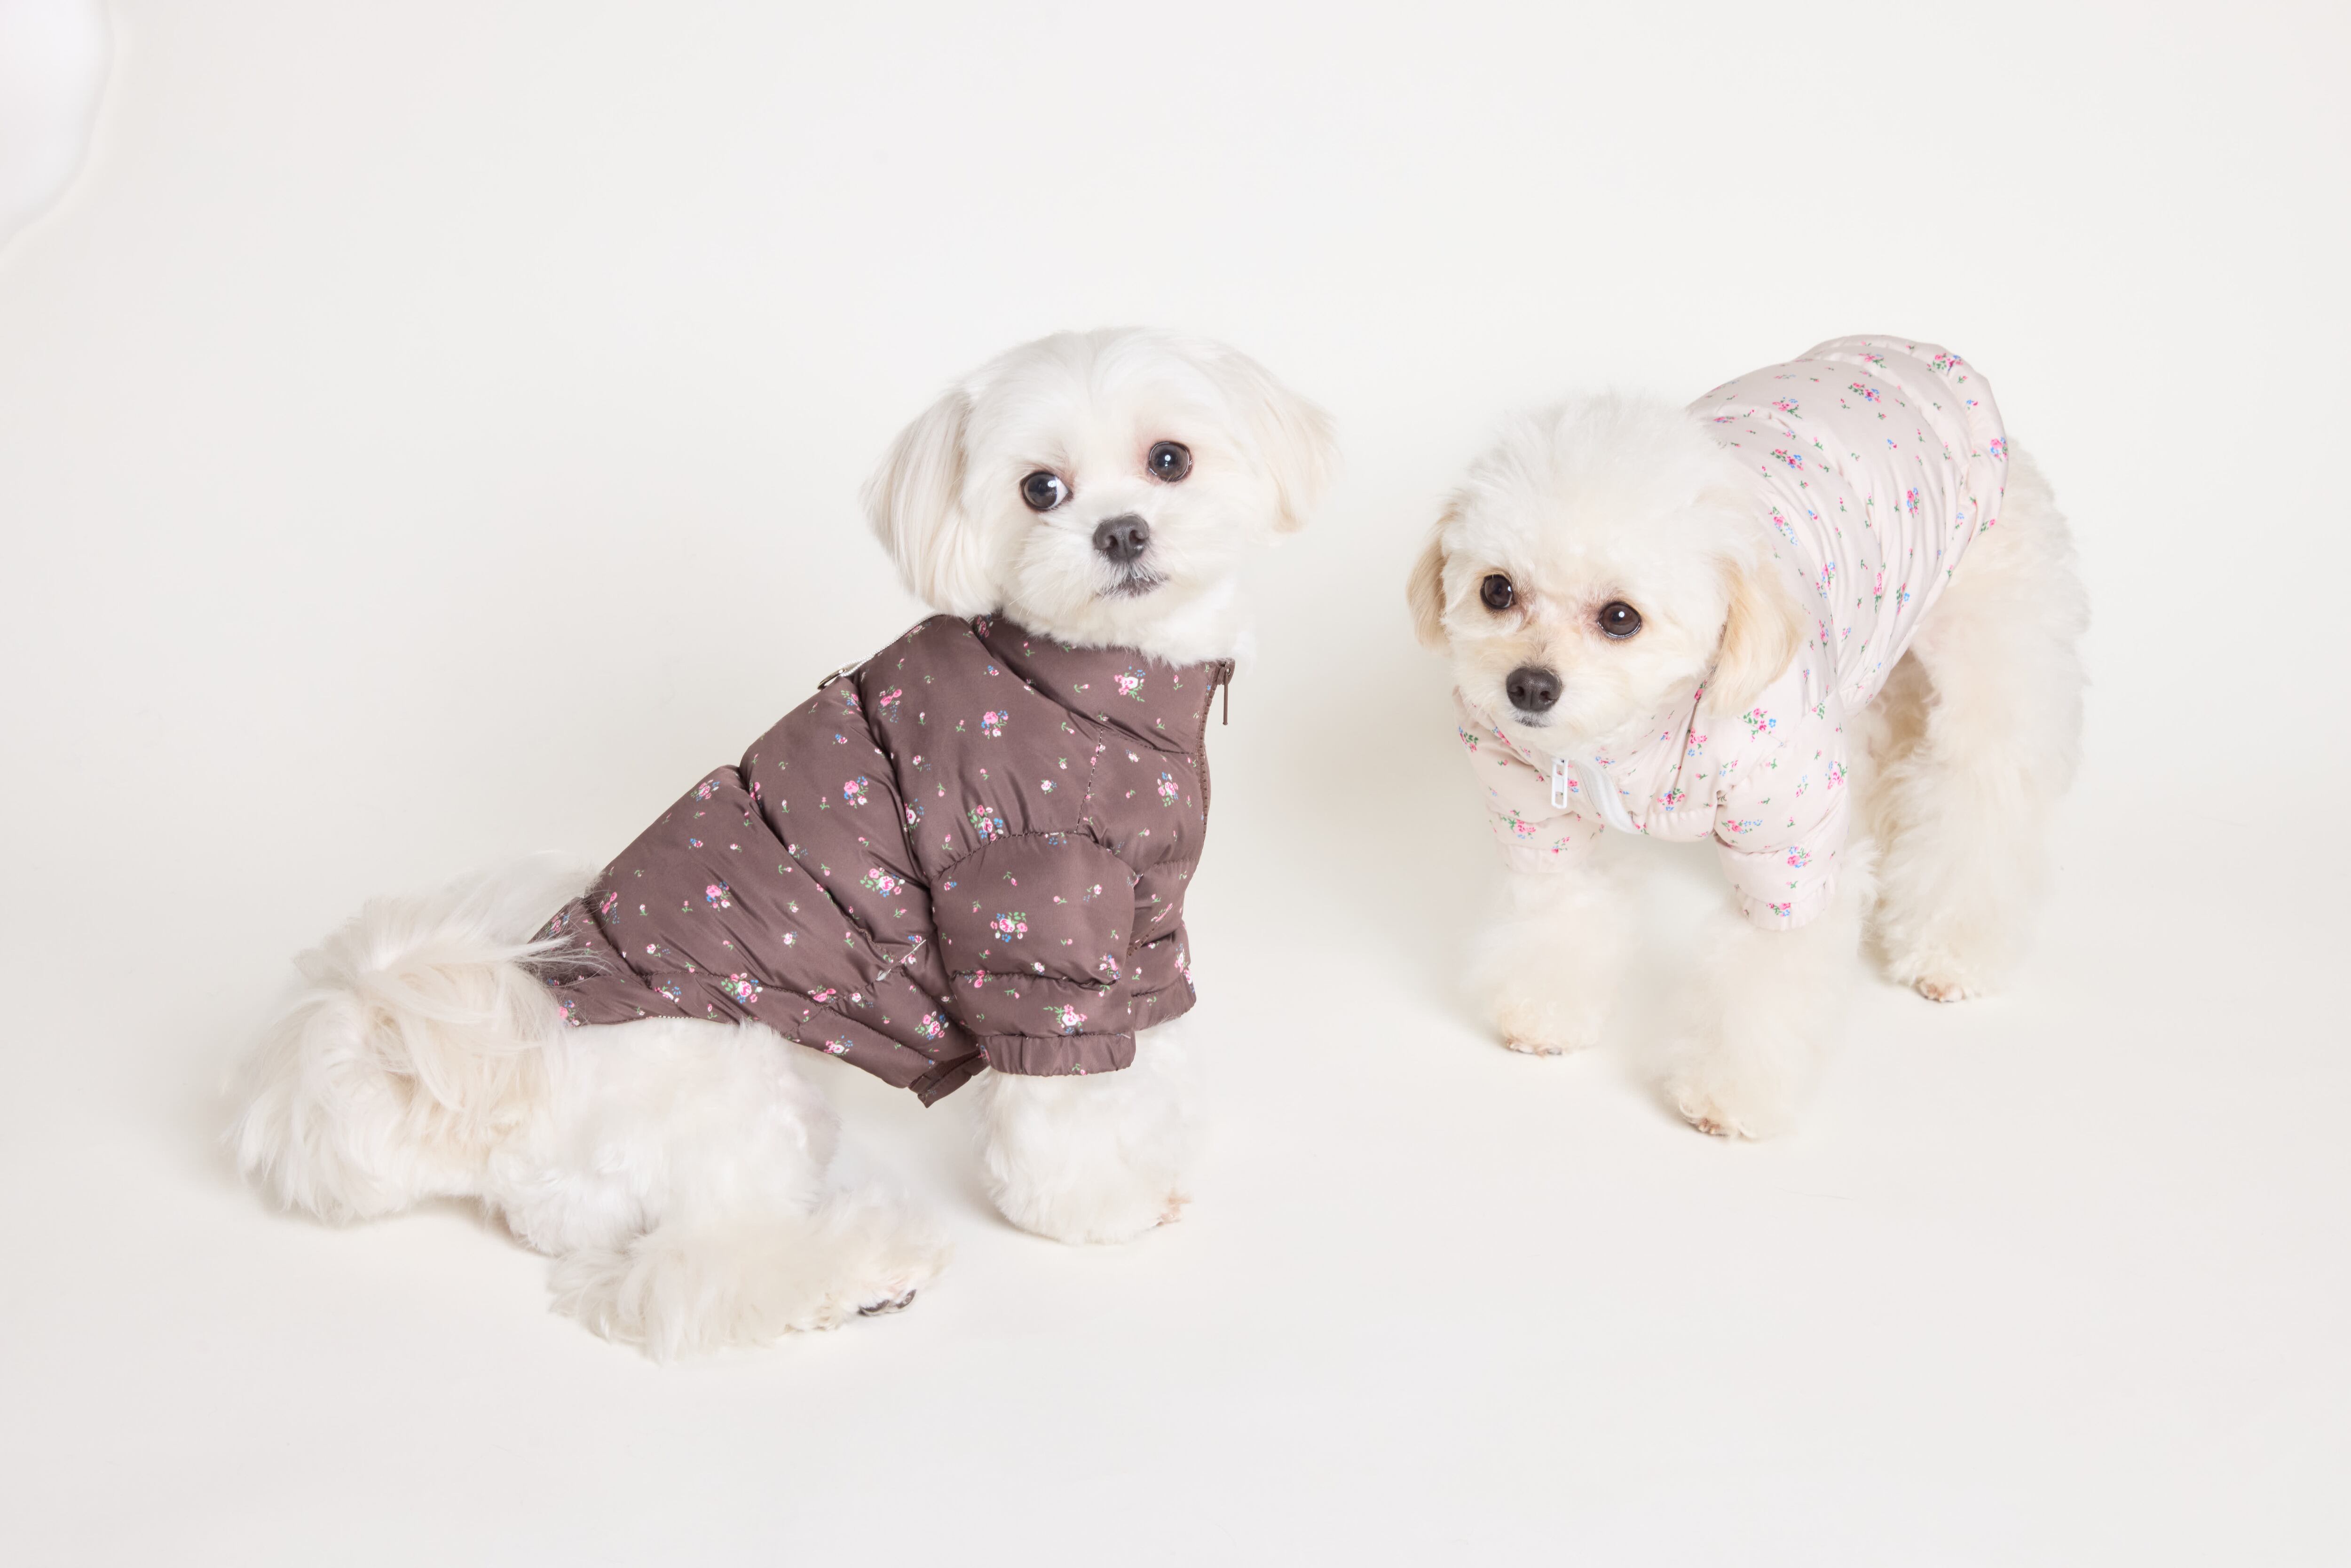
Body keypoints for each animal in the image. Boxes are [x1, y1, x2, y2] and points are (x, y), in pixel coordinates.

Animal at [233, 328, 1337, 1356]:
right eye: (1040, 488)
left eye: (1169, 460)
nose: (1120, 531)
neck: (1088, 687)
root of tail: (497, 1101)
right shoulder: (1026, 902)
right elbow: (1064, 1088)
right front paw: (1099, 1206)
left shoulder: (1138, 916)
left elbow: (1148, 1044)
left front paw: (1160, 1143)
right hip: (734, 1079)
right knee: (693, 1273)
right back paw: (865, 1269)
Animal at [1409, 338, 2086, 1136]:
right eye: (1497, 590)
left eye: (1620, 617)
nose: (1530, 686)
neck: (1630, 741)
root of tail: (1928, 355)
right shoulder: (1533, 807)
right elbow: (1559, 905)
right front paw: (1544, 1011)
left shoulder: (1786, 835)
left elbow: (1769, 968)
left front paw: (1727, 1095)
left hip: (1991, 650)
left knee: (1981, 797)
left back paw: (1948, 951)